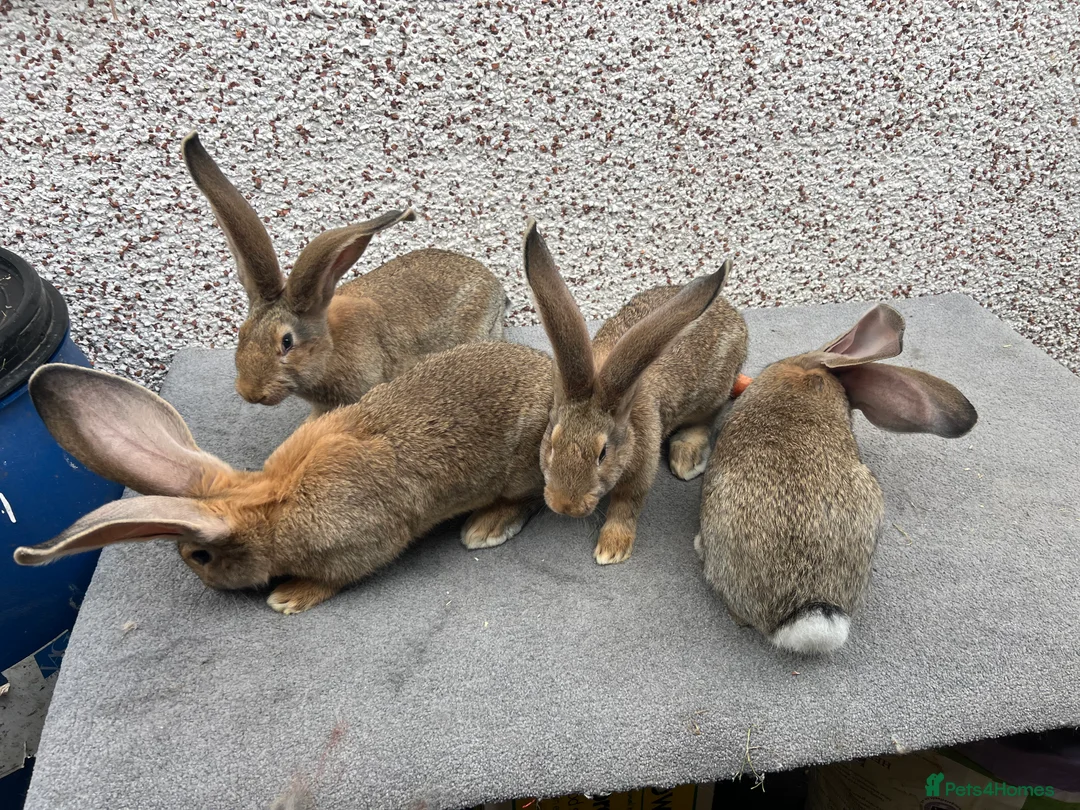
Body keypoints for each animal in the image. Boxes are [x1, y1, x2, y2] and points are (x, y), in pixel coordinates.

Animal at [13, 340, 553, 614]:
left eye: (200, 557)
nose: (209, 584)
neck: (271, 508)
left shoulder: (361, 546)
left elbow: (334, 578)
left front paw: (288, 597)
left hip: (521, 468)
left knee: (528, 498)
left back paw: (485, 528)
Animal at [523, 220, 749, 565]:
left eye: (603, 453)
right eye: (553, 441)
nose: (565, 505)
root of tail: (733, 314)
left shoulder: (641, 469)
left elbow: (626, 505)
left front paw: (612, 548)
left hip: (714, 391)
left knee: (707, 418)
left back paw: (686, 457)